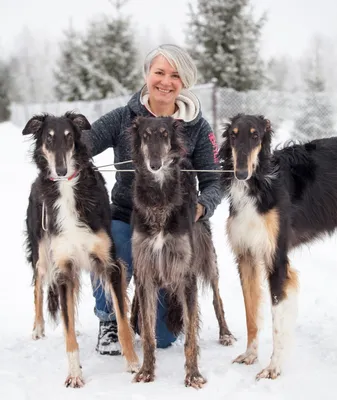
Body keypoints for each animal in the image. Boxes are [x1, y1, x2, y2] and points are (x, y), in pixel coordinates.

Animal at [22, 111, 138, 388]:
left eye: (69, 137)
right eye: (48, 138)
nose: (61, 170)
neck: (67, 189)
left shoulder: (110, 264)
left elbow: (121, 320)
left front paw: (133, 364)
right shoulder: (63, 268)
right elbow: (68, 332)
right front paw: (75, 374)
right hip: (42, 255)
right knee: (38, 288)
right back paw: (38, 327)